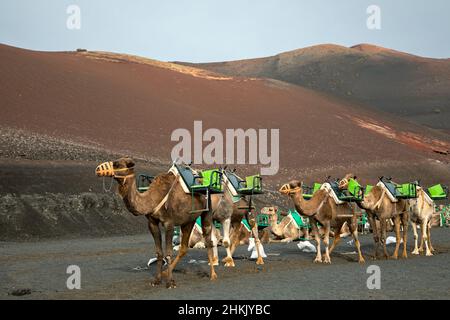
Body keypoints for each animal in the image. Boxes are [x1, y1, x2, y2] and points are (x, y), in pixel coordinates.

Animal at [96, 159, 219, 288]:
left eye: (117, 164)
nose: (98, 169)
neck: (152, 199)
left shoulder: (169, 223)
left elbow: (168, 253)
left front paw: (170, 282)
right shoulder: (152, 223)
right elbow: (159, 253)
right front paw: (157, 280)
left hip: (207, 210)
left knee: (209, 240)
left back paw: (213, 275)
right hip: (189, 220)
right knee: (184, 247)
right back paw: (165, 272)